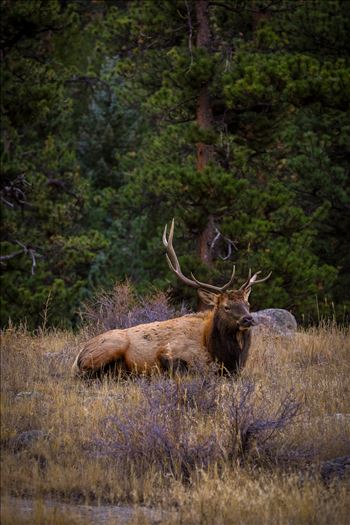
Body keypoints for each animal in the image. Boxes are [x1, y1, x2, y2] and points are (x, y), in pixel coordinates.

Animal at [72, 219, 272, 374]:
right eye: (226, 306)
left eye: (247, 303)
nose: (248, 319)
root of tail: (78, 356)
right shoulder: (169, 351)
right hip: (112, 346)